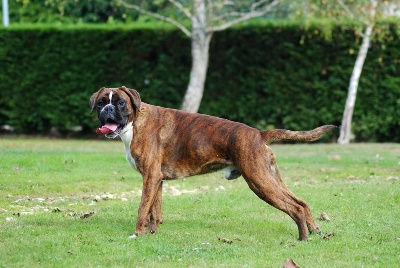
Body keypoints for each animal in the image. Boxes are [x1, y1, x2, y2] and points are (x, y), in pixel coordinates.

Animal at [90, 86, 334, 241]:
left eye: (120, 103)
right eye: (101, 103)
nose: (107, 109)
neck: (135, 122)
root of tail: (259, 134)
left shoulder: (150, 178)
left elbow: (142, 209)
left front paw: (137, 234)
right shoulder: (156, 180)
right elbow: (154, 211)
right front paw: (151, 234)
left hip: (259, 181)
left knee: (294, 207)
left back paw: (303, 238)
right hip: (270, 177)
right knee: (301, 202)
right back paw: (316, 231)